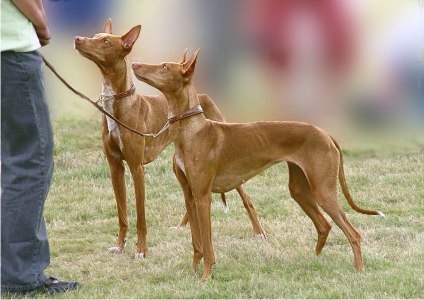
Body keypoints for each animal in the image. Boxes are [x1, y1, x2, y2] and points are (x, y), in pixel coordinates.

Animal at [73, 21, 264, 258]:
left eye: (106, 41)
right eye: (95, 35)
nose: (77, 39)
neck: (118, 103)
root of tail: (203, 97)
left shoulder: (136, 167)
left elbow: (140, 216)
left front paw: (141, 250)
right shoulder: (115, 167)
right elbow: (122, 213)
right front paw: (119, 245)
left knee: (246, 197)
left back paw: (259, 232)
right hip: (178, 164)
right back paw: (183, 226)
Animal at [132, 49, 384, 282]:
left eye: (164, 66)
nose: (134, 63)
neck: (191, 131)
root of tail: (325, 133)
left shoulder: (203, 197)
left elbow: (208, 245)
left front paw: (205, 276)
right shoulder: (189, 195)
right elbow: (197, 244)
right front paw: (193, 272)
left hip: (323, 191)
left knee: (353, 233)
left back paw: (359, 270)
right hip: (299, 190)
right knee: (324, 226)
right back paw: (315, 261)